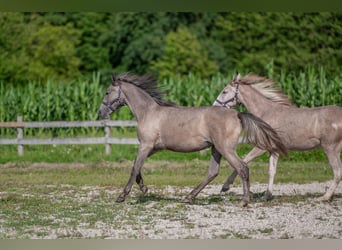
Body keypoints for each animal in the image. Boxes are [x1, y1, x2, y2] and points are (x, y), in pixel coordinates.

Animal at [98, 73, 286, 206]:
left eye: (107, 92)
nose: (100, 113)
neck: (148, 112)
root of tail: (237, 114)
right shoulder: (153, 147)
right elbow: (136, 166)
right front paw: (143, 187)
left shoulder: (145, 145)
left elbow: (135, 167)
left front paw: (122, 196)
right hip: (216, 149)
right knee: (213, 172)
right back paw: (188, 197)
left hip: (225, 149)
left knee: (242, 168)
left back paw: (244, 201)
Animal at [214, 73, 342, 201]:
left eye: (224, 91)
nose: (214, 106)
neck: (266, 113)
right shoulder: (274, 150)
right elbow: (272, 171)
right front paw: (266, 196)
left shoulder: (262, 147)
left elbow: (244, 160)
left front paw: (225, 186)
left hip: (330, 149)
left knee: (337, 172)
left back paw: (324, 197)